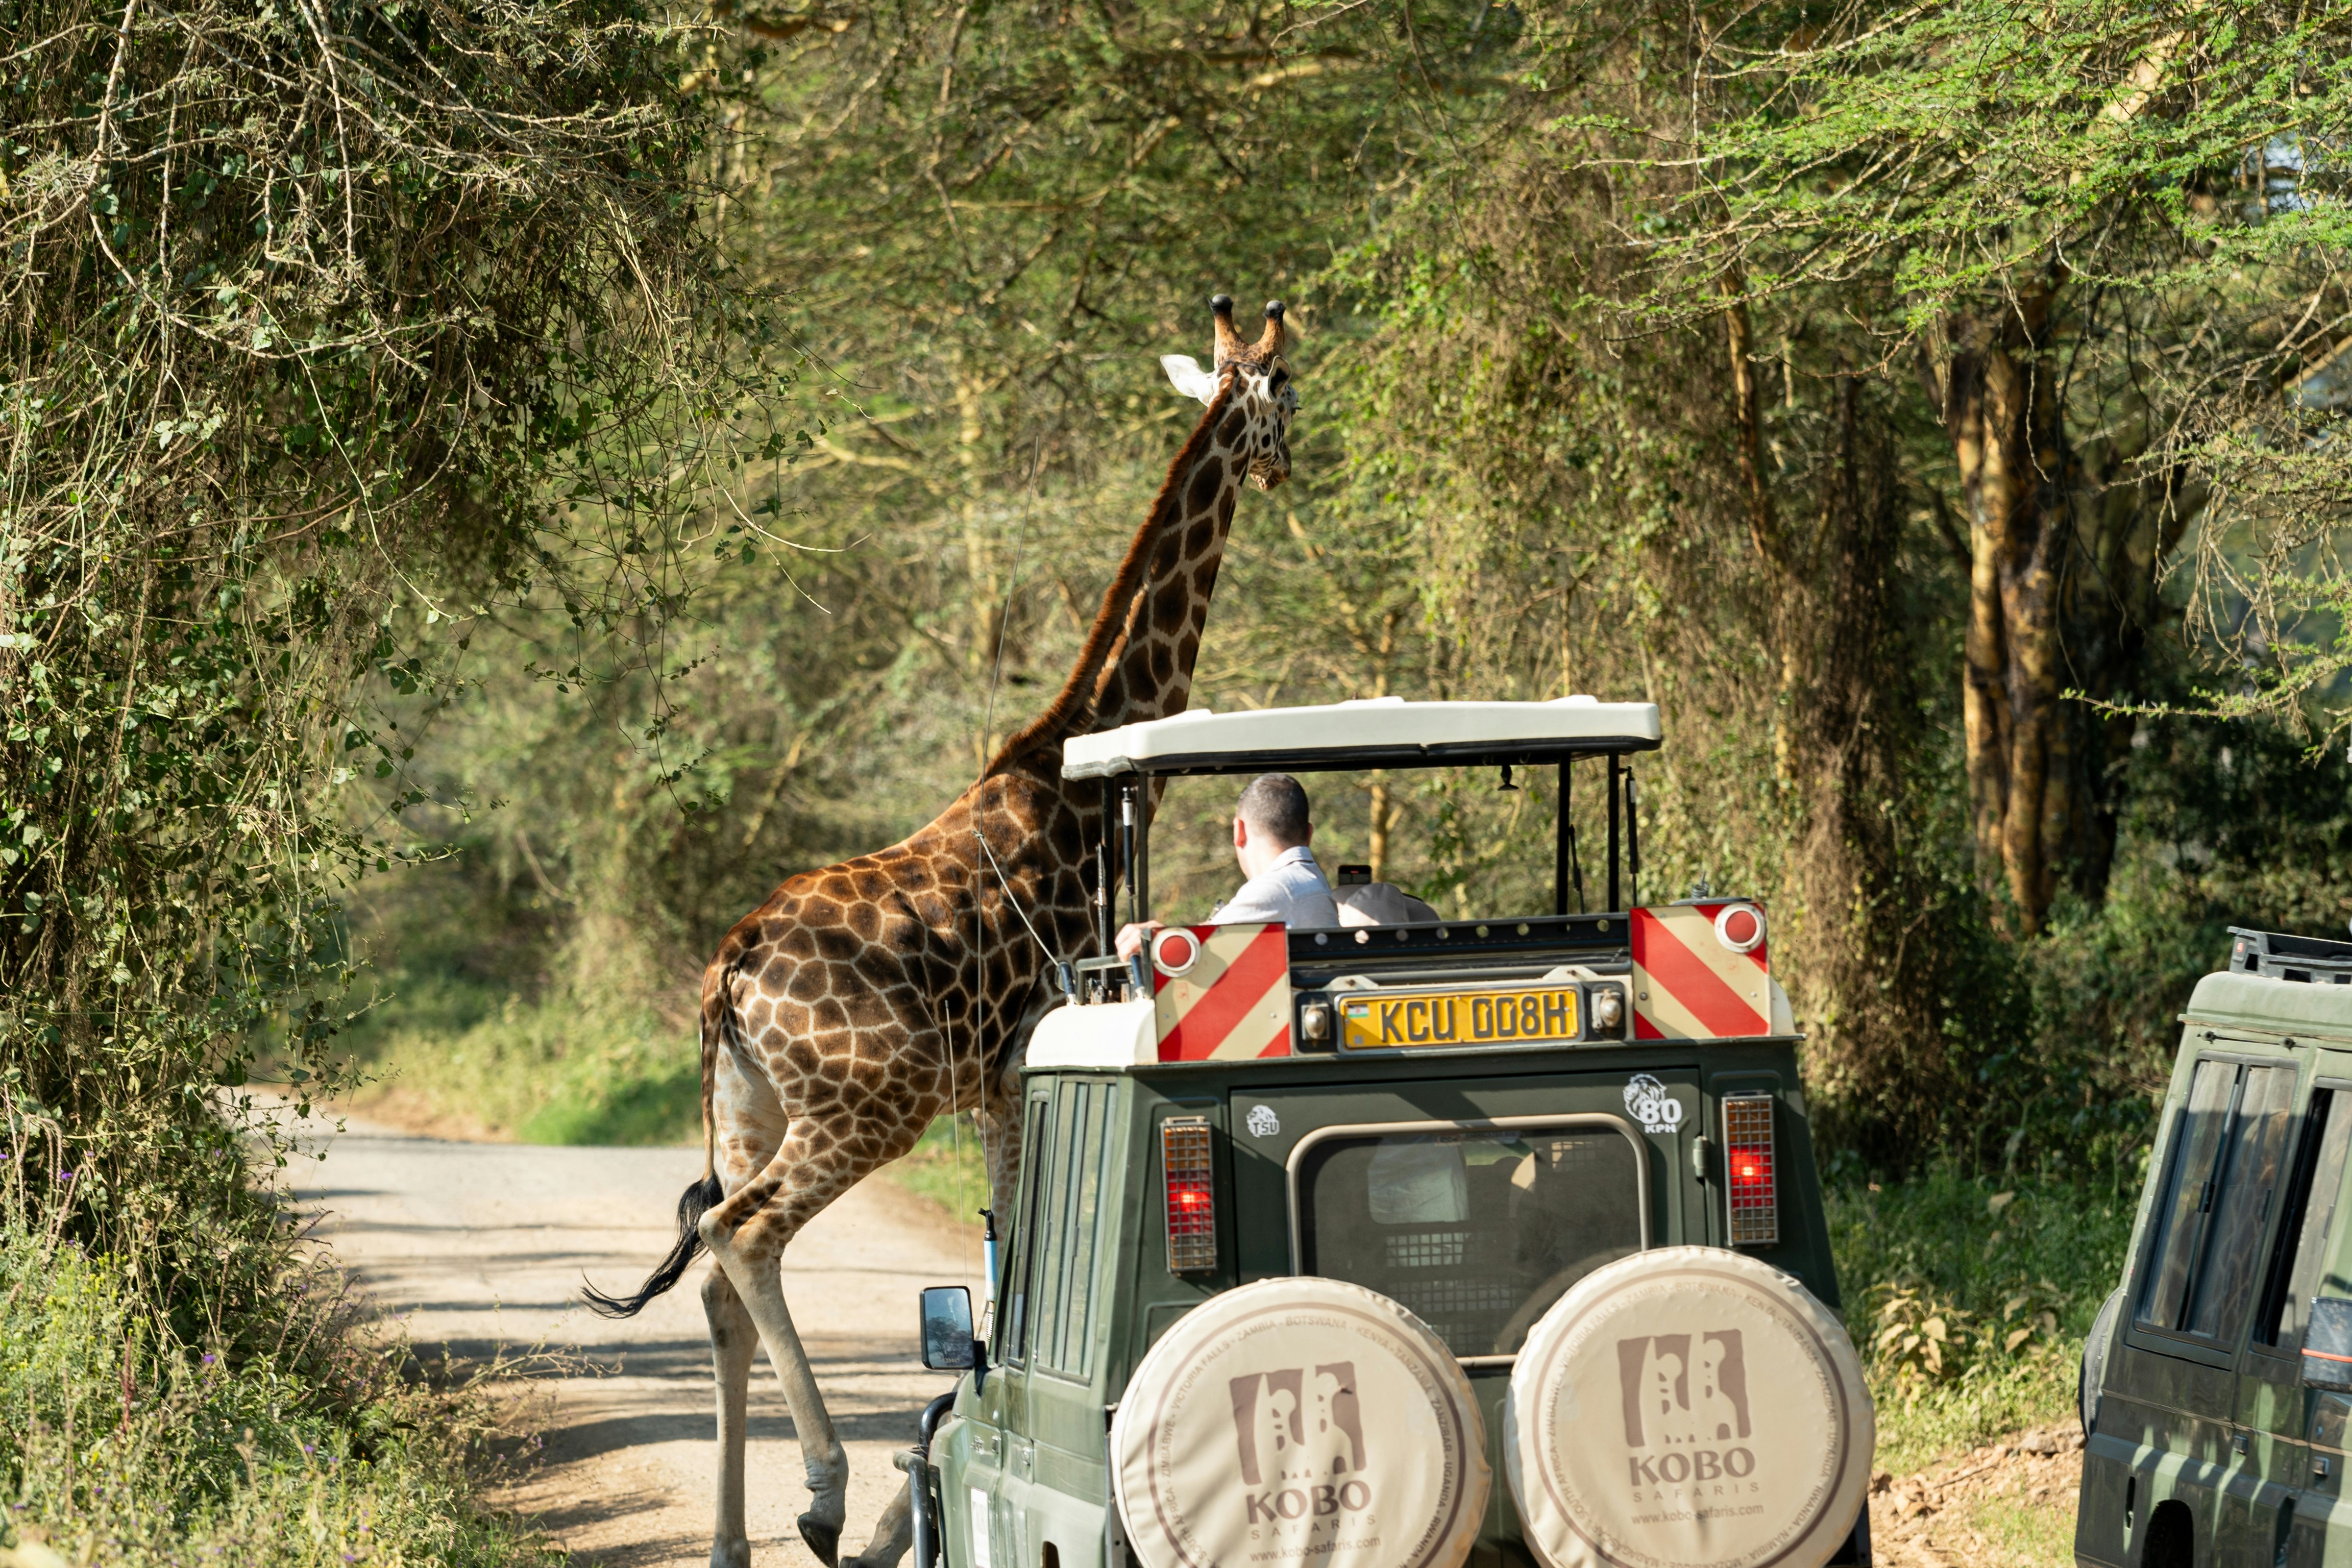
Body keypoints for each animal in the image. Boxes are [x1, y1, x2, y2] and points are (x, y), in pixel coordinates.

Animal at [586, 294, 1297, 1568]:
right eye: (1292, 390)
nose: (1288, 465)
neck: (1076, 776)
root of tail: (728, 975)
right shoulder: (1013, 1072)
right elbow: (1004, 1270)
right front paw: (899, 1509)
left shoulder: (1003, 1086)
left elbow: (1004, 1261)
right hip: (872, 1103)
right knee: (741, 1235)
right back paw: (821, 1499)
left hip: (751, 1109)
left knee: (715, 1273)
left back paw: (731, 1543)